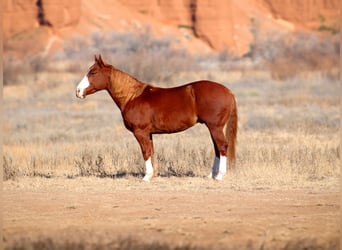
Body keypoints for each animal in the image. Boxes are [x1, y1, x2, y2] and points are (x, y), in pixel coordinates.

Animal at [76, 55, 236, 182]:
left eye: (93, 72)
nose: (78, 91)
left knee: (222, 146)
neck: (132, 97)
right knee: (217, 148)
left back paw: (219, 176)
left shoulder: (140, 132)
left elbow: (146, 152)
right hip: (213, 128)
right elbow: (151, 151)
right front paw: (153, 174)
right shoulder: (149, 134)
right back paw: (211, 175)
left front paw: (147, 177)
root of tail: (228, 91)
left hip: (215, 127)